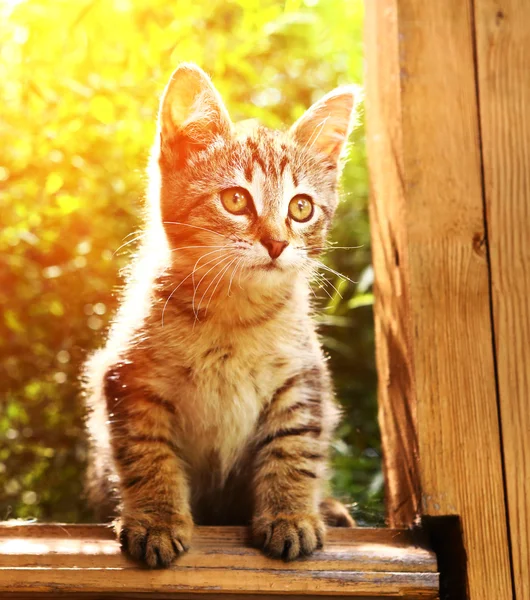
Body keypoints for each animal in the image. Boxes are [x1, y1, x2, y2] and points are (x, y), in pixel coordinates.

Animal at [83, 62, 354, 568]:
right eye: (235, 200)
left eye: (301, 207)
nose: (277, 243)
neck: (234, 317)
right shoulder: (128, 378)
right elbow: (147, 454)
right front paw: (156, 519)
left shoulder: (304, 377)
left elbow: (294, 447)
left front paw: (291, 514)